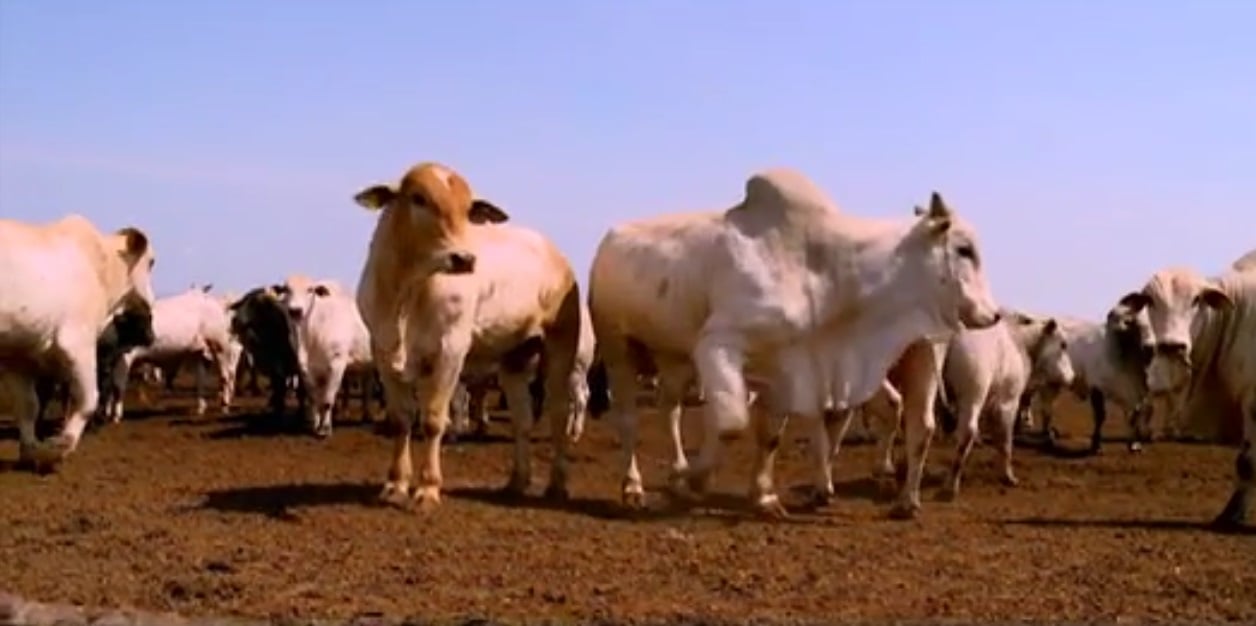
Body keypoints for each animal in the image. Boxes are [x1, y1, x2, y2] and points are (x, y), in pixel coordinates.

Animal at [105, 285, 239, 419]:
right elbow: (108, 387)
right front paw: (107, 412)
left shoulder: (124, 356)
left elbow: (117, 387)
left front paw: (116, 416)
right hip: (200, 351)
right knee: (201, 380)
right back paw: (201, 408)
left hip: (219, 345)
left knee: (226, 375)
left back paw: (225, 404)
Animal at [351, 159, 580, 510]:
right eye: (418, 198)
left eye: (468, 210)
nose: (464, 259)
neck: (407, 293)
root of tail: (557, 256)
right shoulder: (383, 351)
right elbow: (401, 419)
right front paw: (396, 484)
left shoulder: (450, 352)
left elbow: (433, 420)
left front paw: (428, 489)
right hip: (516, 359)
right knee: (522, 420)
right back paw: (517, 481)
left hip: (560, 347)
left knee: (558, 414)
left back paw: (557, 484)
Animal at [587, 170, 999, 517]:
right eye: (964, 249)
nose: (994, 315)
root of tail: (609, 239)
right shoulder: (717, 345)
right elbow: (731, 423)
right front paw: (693, 479)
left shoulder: (784, 366)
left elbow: (769, 435)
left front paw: (763, 496)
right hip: (617, 349)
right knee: (628, 420)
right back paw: (634, 487)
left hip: (672, 359)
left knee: (669, 410)